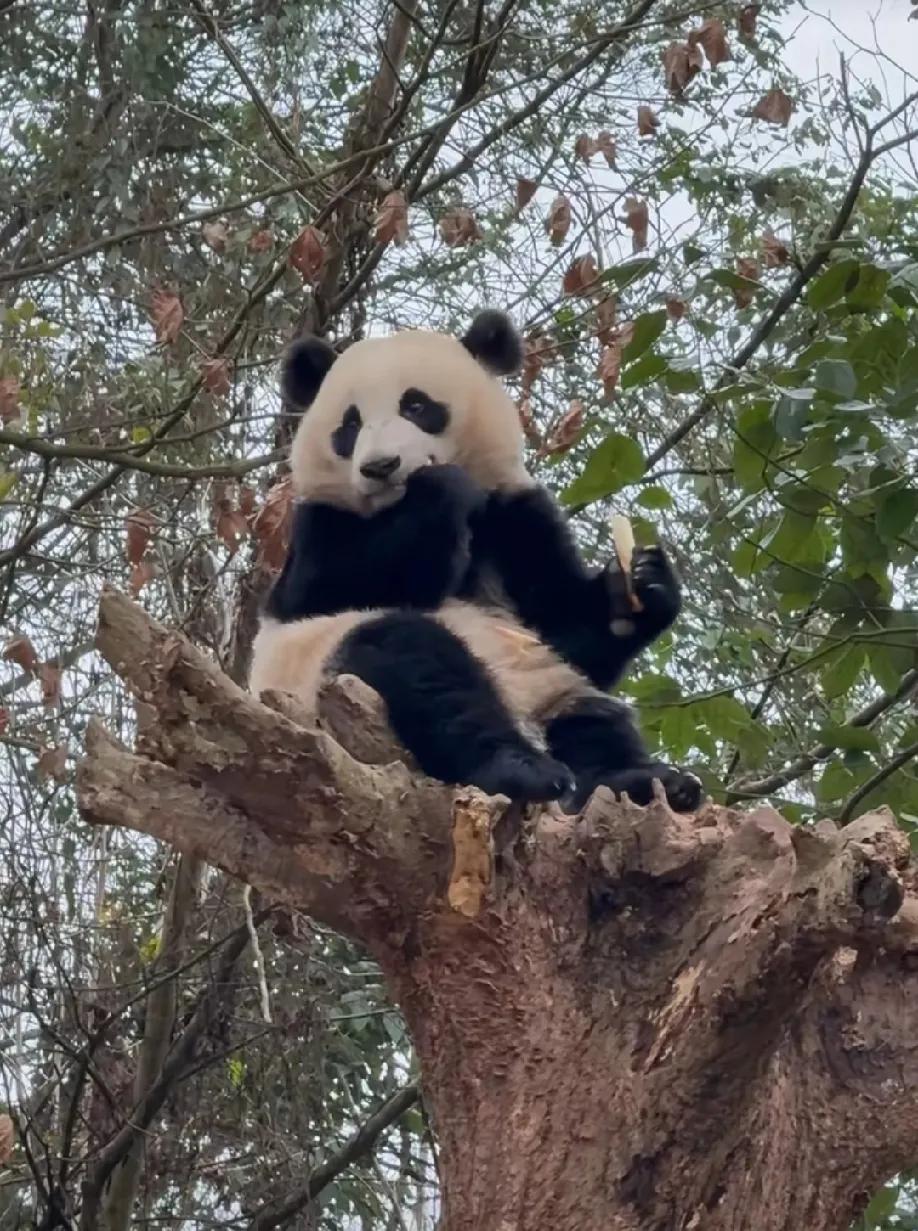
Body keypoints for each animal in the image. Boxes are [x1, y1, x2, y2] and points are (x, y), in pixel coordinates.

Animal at [247, 307, 698, 812]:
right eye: (349, 426)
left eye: (416, 406)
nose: (380, 467)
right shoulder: (317, 529)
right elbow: (333, 584)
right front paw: (441, 489)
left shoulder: (516, 513)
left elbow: (564, 624)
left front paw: (642, 583)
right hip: (326, 664)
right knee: (424, 669)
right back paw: (523, 769)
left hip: (549, 681)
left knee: (592, 719)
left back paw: (645, 781)